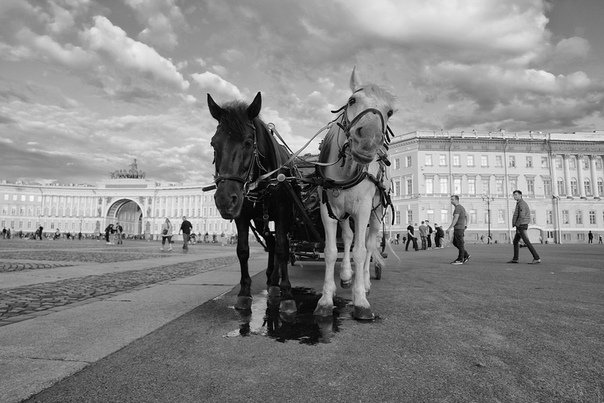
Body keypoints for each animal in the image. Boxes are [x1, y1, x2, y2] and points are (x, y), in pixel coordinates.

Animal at [206, 92, 296, 316]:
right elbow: (243, 250)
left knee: (279, 244)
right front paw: (244, 293)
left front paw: (287, 294)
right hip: (260, 219)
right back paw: (272, 281)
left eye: (248, 142)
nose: (224, 200)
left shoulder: (282, 213)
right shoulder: (243, 215)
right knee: (270, 243)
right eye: (213, 143)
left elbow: (282, 248)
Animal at [312, 69, 396, 322]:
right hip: (344, 213)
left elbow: (360, 252)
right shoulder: (328, 209)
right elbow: (331, 251)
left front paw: (360, 301)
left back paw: (365, 281)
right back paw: (346, 275)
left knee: (369, 245)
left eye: (389, 111)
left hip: (376, 213)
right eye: (352, 100)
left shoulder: (363, 208)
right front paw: (326, 299)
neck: (346, 170)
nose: (367, 140)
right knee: (348, 238)